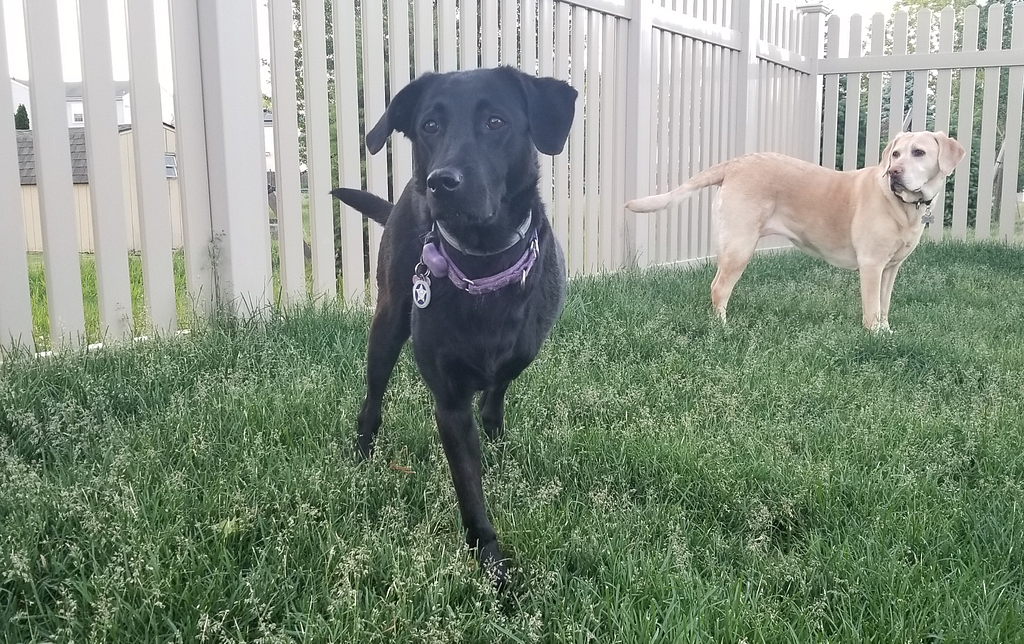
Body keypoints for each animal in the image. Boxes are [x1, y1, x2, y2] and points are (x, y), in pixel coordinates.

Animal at [333, 65, 577, 581]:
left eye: (496, 122)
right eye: (429, 126)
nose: (441, 182)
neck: (482, 266)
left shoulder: (521, 349)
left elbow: (496, 391)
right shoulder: (448, 402)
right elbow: (469, 488)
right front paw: (492, 566)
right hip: (388, 323)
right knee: (372, 400)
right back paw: (362, 457)